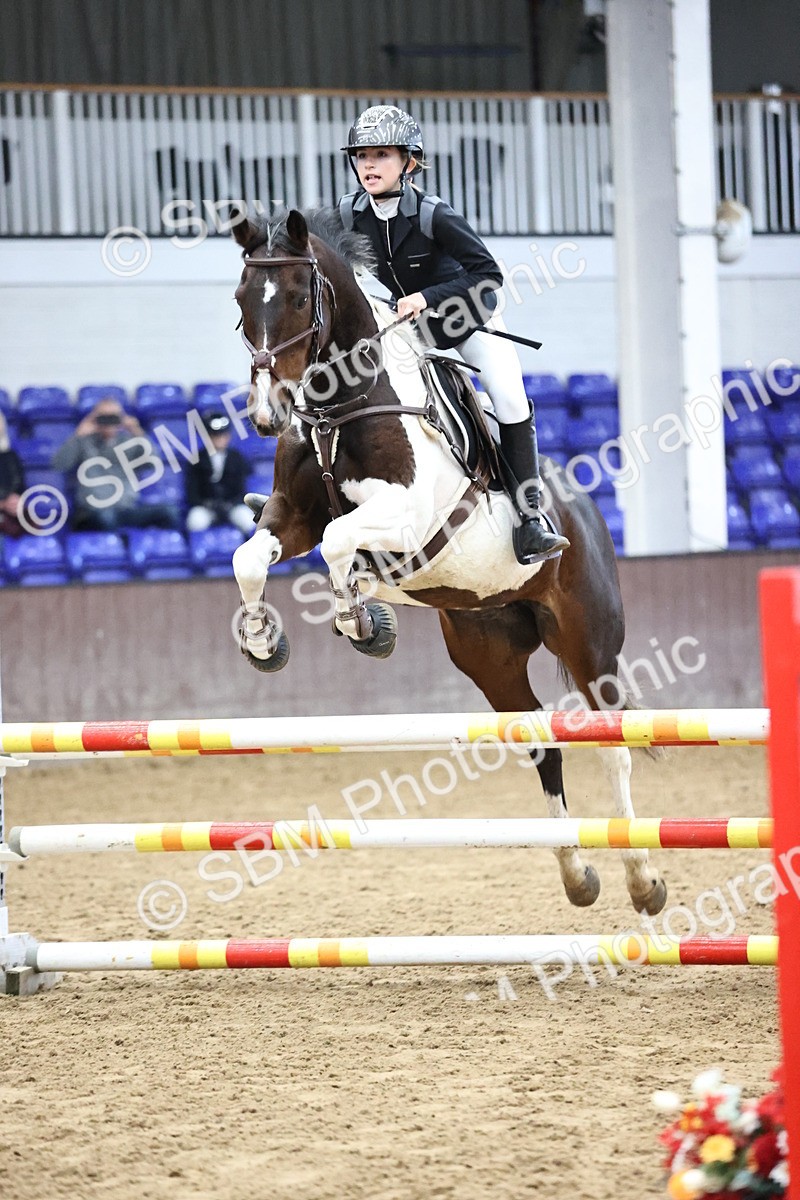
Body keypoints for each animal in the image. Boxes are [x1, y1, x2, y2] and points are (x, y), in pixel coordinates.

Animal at [229, 206, 667, 918]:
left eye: (297, 297)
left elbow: (339, 542)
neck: (344, 405)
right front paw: (264, 639)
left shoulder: (406, 515)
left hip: (587, 639)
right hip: (489, 652)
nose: (269, 414)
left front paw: (360, 622)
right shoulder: (291, 515)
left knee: (611, 745)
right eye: (242, 303)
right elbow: (253, 558)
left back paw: (643, 880)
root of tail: (583, 509)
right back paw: (578, 875)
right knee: (541, 742)